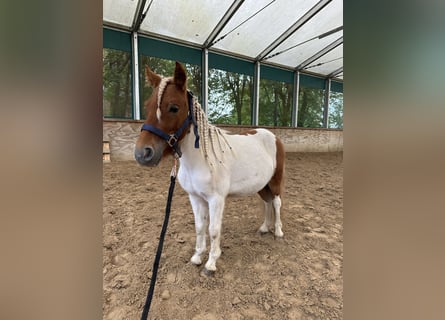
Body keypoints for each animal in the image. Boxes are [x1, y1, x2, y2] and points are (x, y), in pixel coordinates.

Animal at [134, 63, 284, 276]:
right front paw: (197, 257)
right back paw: (264, 228)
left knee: (277, 203)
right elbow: (199, 227)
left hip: (275, 181)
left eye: (174, 107)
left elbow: (213, 229)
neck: (200, 160)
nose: (143, 153)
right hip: (262, 185)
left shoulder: (216, 199)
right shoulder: (195, 198)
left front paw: (211, 264)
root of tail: (272, 136)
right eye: (147, 106)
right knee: (267, 202)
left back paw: (278, 231)